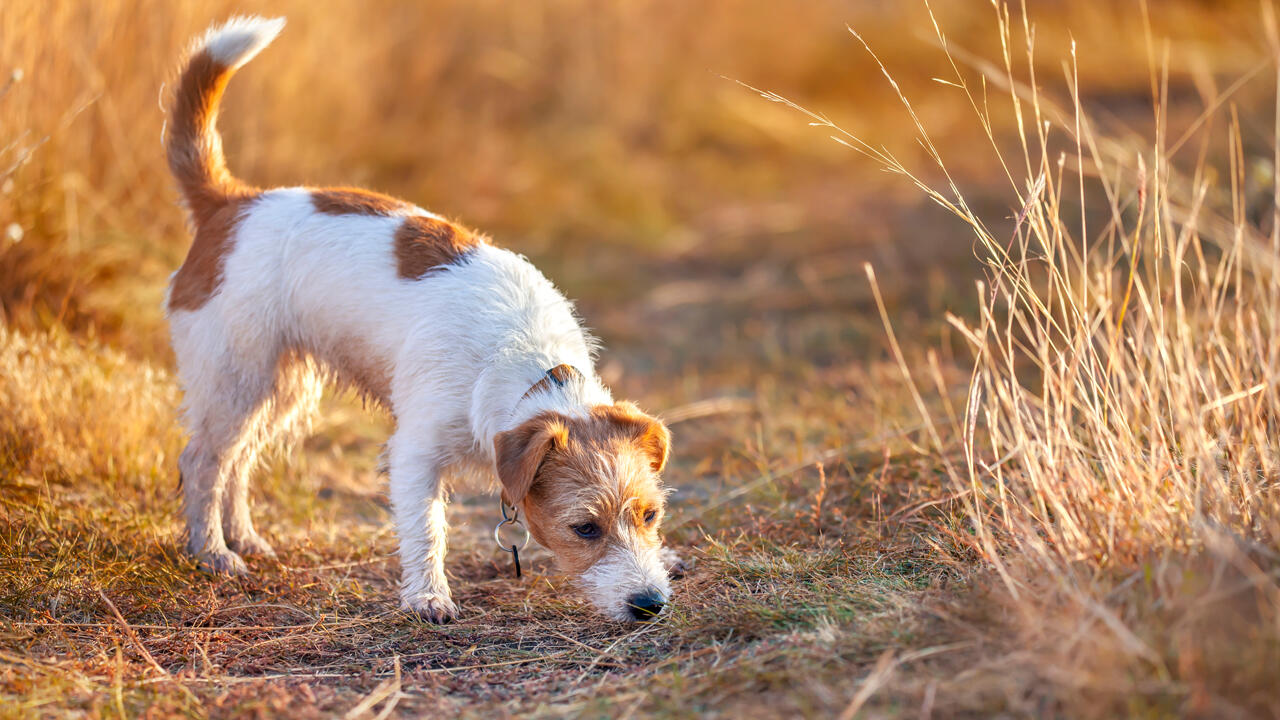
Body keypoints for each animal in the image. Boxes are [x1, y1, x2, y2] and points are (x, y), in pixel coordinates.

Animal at [165, 16, 680, 622]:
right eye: (585, 528)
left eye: (649, 515)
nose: (649, 604)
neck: (523, 362)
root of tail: (232, 204)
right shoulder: (415, 454)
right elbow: (426, 529)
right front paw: (429, 596)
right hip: (234, 378)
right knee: (203, 461)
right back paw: (212, 552)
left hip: (278, 387)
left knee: (238, 461)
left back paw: (243, 537)